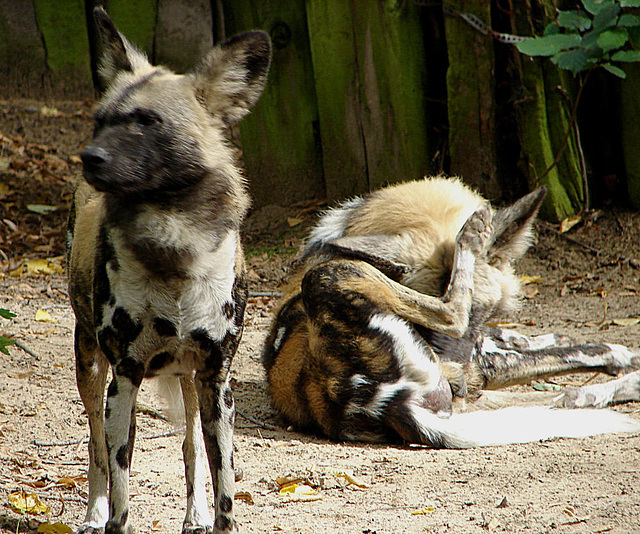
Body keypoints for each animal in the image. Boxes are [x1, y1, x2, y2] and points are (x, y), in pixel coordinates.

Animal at [67, 8, 270, 534]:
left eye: (148, 122)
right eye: (100, 121)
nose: (90, 156)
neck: (174, 243)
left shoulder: (217, 381)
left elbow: (225, 491)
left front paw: (211, 515)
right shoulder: (124, 379)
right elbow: (120, 489)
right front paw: (109, 514)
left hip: (191, 381)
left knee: (191, 445)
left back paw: (193, 513)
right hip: (90, 368)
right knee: (96, 448)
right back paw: (93, 512)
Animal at [262, 179, 640, 448]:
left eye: (482, 310)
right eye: (423, 331)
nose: (455, 362)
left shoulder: (482, 350)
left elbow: (531, 341)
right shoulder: (485, 363)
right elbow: (578, 350)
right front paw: (618, 353)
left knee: (559, 399)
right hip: (332, 276)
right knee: (450, 314)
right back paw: (470, 236)